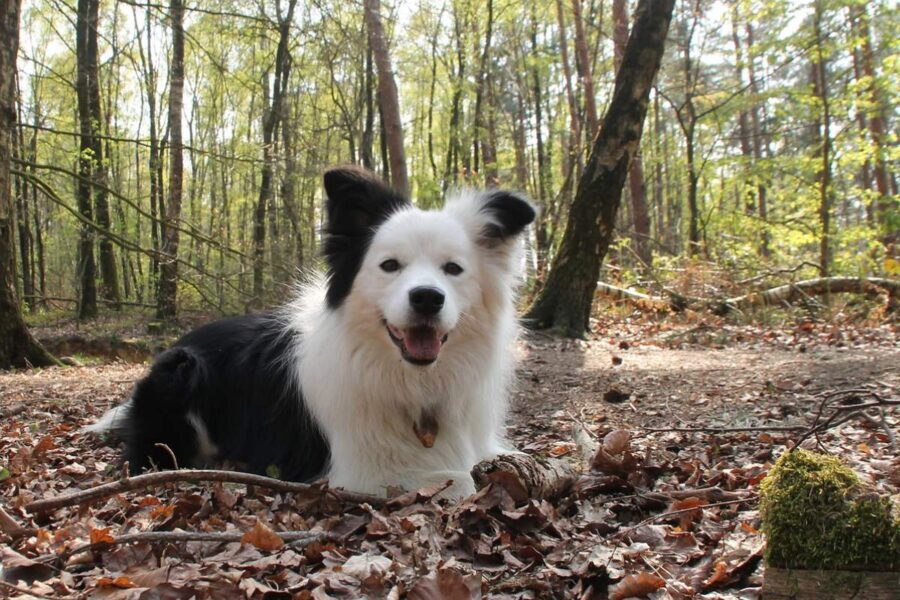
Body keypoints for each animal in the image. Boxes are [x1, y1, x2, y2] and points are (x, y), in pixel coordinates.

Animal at [89, 168, 536, 496]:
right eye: (390, 265)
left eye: (453, 269)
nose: (427, 298)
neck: (409, 379)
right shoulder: (359, 472)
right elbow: (462, 480)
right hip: (180, 370)